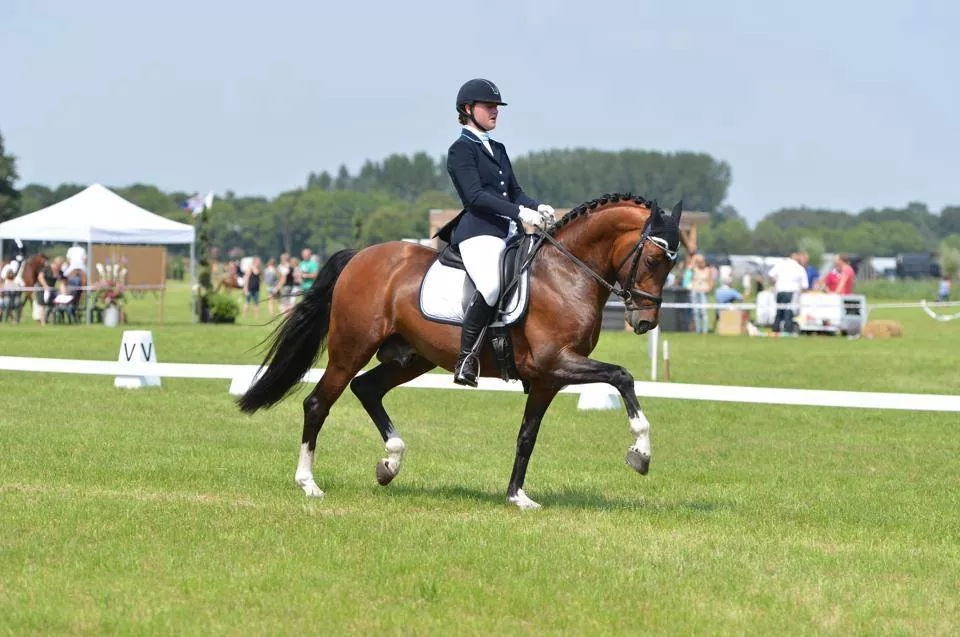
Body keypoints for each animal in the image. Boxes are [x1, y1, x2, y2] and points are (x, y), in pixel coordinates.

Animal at [240, 193, 684, 506]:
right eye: (654, 259)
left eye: (673, 264)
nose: (644, 322)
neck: (566, 274)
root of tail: (360, 256)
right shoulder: (557, 362)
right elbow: (622, 376)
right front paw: (641, 454)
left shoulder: (548, 378)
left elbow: (527, 436)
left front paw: (517, 496)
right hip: (352, 348)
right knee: (318, 403)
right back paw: (309, 483)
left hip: (412, 357)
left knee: (367, 389)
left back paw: (389, 464)